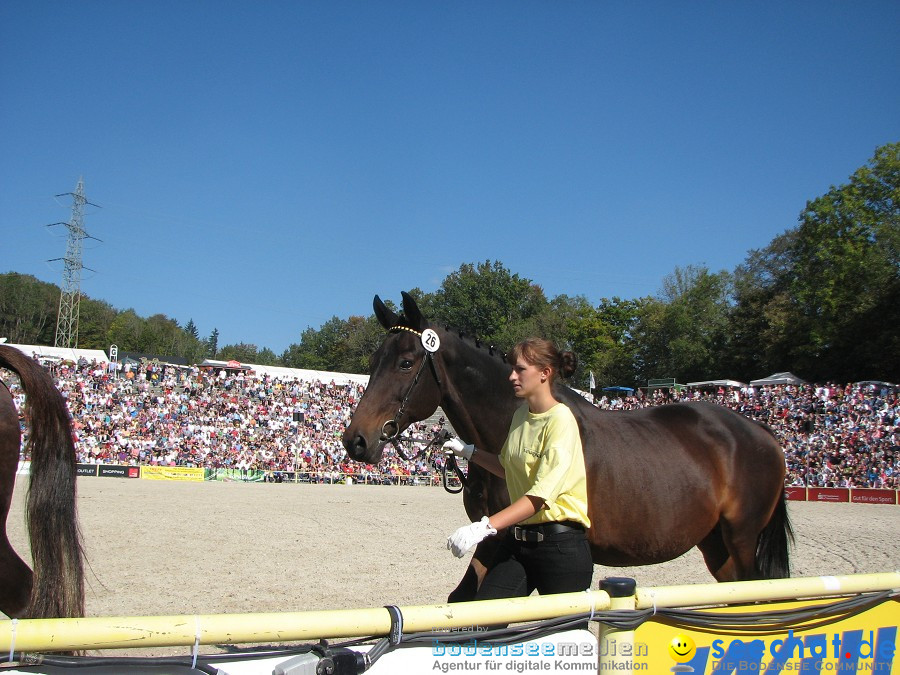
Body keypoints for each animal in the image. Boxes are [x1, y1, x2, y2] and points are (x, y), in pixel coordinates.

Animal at [344, 294, 796, 600]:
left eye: (406, 363)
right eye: (373, 362)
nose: (356, 440)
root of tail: (761, 431)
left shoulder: (503, 541)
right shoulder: (491, 540)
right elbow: (465, 603)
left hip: (741, 538)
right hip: (717, 545)